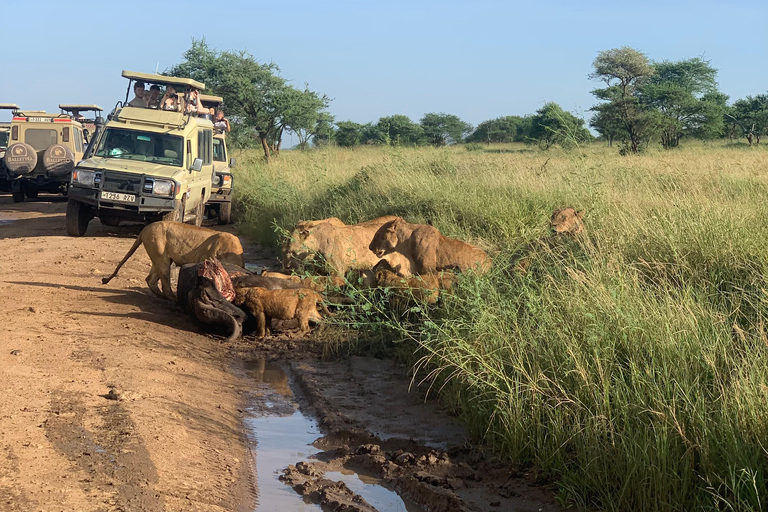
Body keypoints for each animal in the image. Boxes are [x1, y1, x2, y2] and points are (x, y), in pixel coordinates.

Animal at [102, 221, 244, 300]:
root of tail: (145, 228)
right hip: (160, 254)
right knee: (164, 283)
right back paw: (173, 299)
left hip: (161, 257)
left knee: (151, 279)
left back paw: (162, 296)